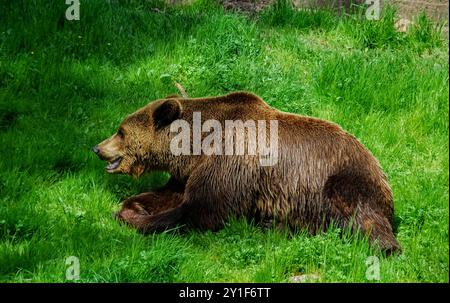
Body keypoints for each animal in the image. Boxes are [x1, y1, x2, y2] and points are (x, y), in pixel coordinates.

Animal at [92, 91, 400, 255]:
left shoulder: (232, 162)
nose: (97, 148)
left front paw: (133, 217)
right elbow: (170, 194)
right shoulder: (190, 171)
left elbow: (201, 209)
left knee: (365, 223)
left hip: (343, 181)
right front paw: (135, 204)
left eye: (120, 131)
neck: (198, 143)